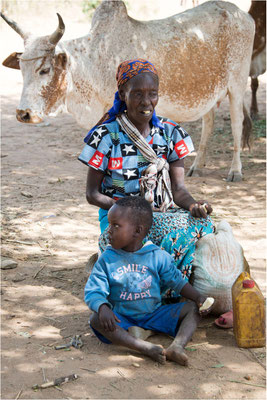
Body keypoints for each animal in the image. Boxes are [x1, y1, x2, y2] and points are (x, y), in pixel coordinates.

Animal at [1, 0, 255, 181]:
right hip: (208, 92)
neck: (94, 60)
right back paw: (197, 165)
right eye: (21, 68)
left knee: (236, 124)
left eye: (44, 69)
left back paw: (235, 170)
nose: (23, 114)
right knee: (209, 123)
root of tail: (243, 15)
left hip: (237, 85)